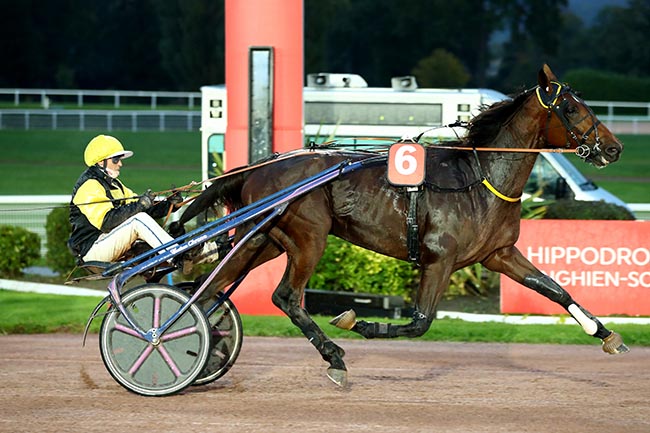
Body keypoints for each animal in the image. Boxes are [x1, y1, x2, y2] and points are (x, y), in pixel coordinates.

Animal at [176, 66, 624, 386]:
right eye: (571, 108)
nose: (614, 148)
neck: (480, 176)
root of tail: (256, 167)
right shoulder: (439, 259)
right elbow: (420, 322)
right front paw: (358, 322)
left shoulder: (499, 254)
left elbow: (554, 289)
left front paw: (605, 334)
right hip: (308, 237)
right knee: (286, 296)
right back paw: (333, 356)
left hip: (262, 240)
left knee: (211, 291)